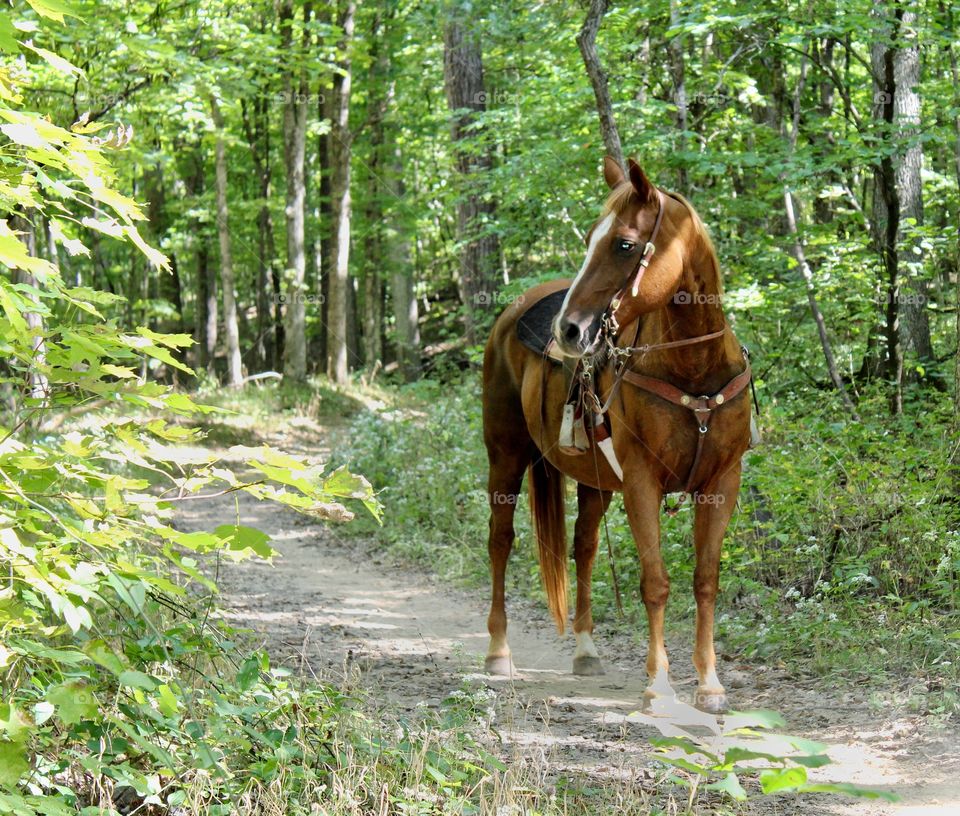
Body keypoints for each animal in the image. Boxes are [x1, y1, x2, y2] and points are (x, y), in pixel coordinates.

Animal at [480, 156, 752, 712]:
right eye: (590, 238)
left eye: (624, 245)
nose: (569, 331)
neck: (694, 371)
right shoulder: (642, 484)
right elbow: (655, 582)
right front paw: (659, 685)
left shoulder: (721, 484)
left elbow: (705, 580)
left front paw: (710, 684)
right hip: (506, 457)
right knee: (501, 541)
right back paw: (498, 651)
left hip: (596, 481)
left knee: (583, 547)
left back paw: (586, 650)